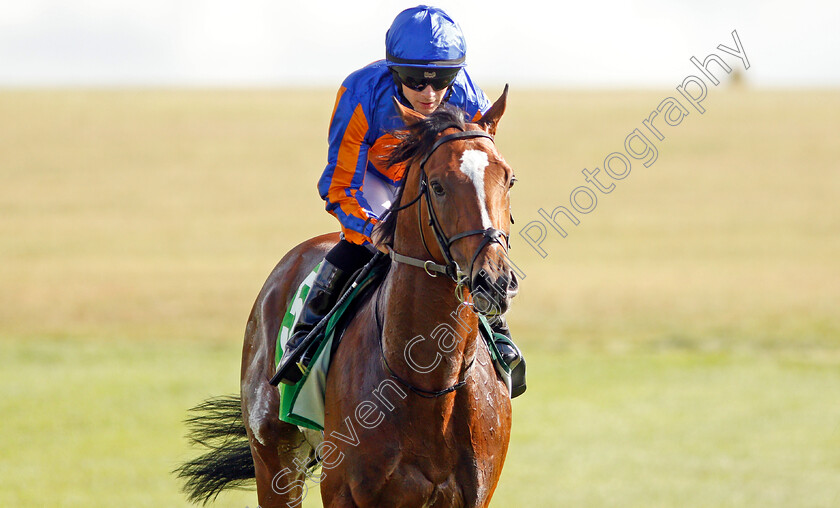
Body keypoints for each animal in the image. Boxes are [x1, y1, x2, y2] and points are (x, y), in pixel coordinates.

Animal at [176, 88, 520, 508]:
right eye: (438, 185)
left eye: (508, 179)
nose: (495, 280)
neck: (428, 381)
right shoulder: (344, 490)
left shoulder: (472, 496)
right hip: (273, 459)